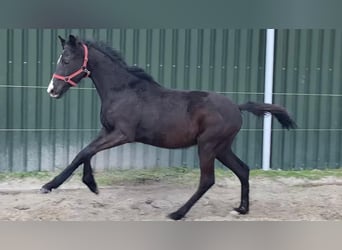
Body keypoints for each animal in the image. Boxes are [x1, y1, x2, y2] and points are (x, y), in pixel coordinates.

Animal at [42, 34, 296, 220]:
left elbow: (85, 151)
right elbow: (84, 152)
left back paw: (177, 213)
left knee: (208, 180)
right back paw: (242, 209)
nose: (52, 90)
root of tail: (237, 107)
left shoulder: (123, 134)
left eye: (66, 60)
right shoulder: (107, 131)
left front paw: (54, 185)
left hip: (207, 146)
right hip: (222, 148)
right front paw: (87, 184)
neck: (123, 91)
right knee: (243, 170)